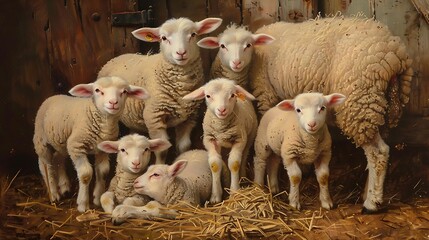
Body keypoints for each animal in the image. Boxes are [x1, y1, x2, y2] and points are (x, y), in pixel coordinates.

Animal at [32, 76, 149, 212]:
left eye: (124, 91)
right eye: (97, 90)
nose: (113, 102)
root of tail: (53, 96)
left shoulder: (102, 149)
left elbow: (103, 171)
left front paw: (97, 198)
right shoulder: (76, 146)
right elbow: (85, 174)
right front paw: (83, 204)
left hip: (63, 143)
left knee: (58, 159)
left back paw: (64, 187)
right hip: (41, 140)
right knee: (46, 165)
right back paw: (54, 193)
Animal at [98, 16, 222, 163]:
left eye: (193, 34)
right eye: (163, 38)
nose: (181, 53)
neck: (182, 86)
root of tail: (118, 57)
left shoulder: (190, 117)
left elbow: (184, 146)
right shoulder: (153, 117)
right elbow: (162, 150)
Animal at [249, 16, 412, 212]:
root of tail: (394, 54)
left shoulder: (266, 95)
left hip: (359, 102)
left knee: (378, 153)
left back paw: (372, 203)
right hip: (381, 109)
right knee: (379, 152)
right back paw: (368, 193)